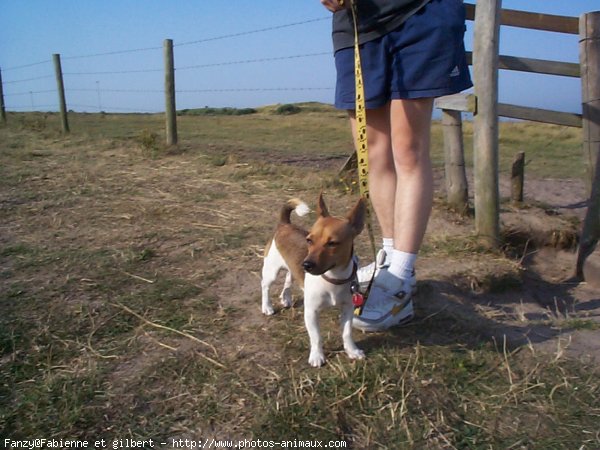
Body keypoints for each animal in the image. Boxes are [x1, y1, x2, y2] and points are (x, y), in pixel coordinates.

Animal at [258, 193, 366, 366]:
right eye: (309, 240)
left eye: (332, 243)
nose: (306, 264)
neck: (332, 278)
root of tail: (285, 224)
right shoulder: (311, 311)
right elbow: (316, 337)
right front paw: (317, 356)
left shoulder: (348, 307)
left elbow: (347, 333)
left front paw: (352, 351)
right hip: (271, 271)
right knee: (265, 286)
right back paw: (267, 306)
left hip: (292, 268)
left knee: (288, 279)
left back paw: (286, 298)